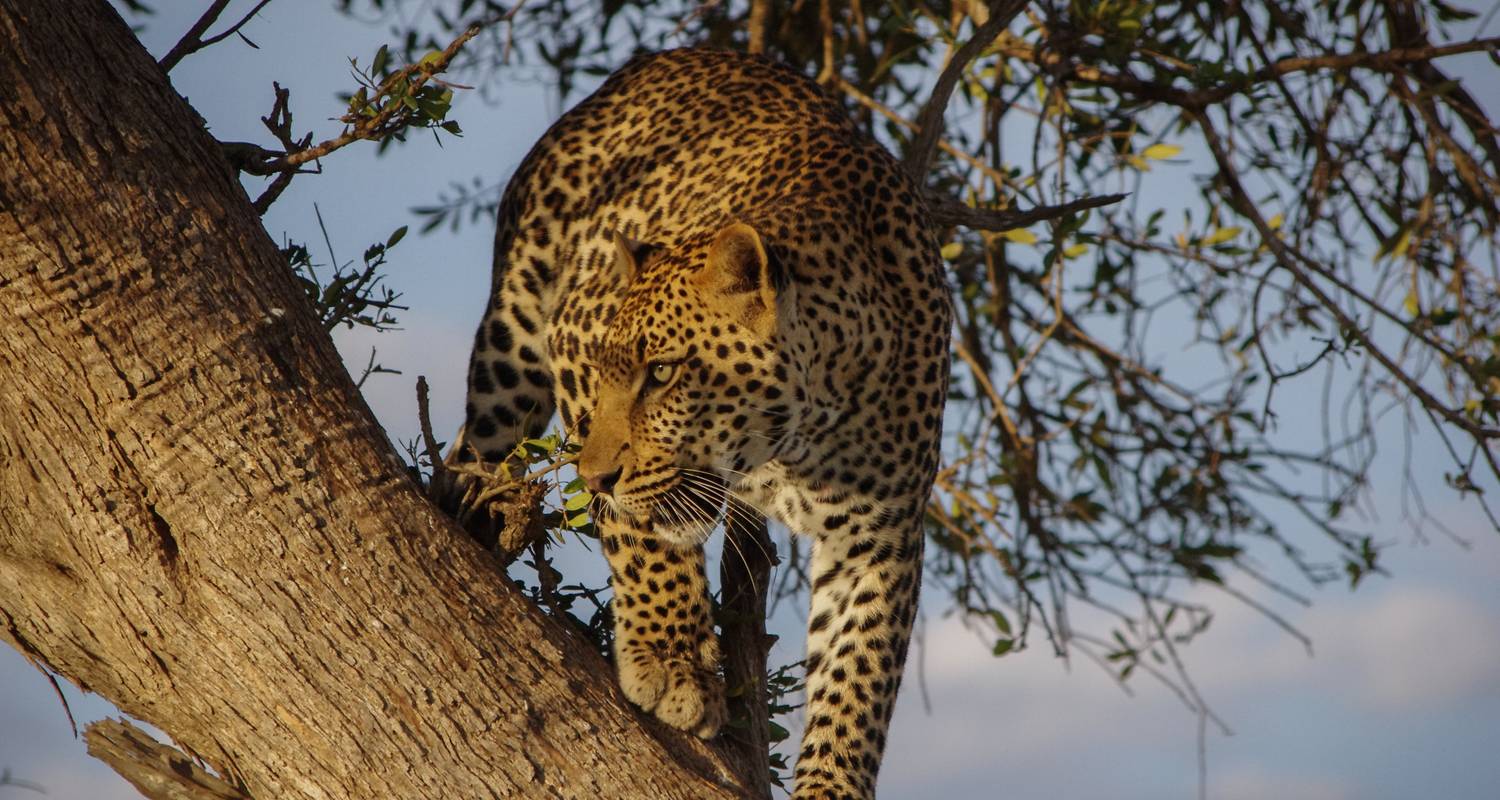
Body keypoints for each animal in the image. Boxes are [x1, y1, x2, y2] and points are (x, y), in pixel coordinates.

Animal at [459, 46, 948, 792]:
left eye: (662, 374)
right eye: (607, 371)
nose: (593, 479)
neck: (800, 437)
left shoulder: (882, 533)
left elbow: (859, 673)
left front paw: (832, 782)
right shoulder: (572, 334)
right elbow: (642, 537)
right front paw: (672, 663)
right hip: (511, 348)